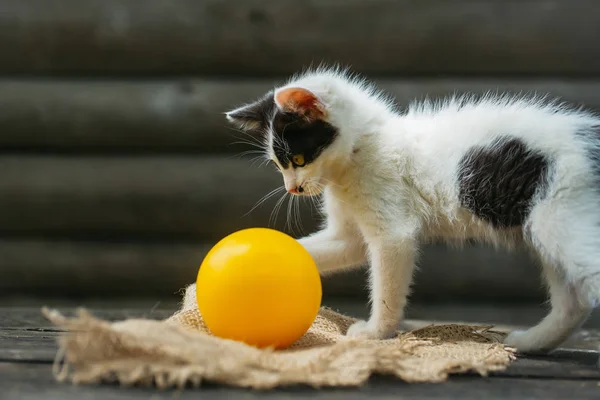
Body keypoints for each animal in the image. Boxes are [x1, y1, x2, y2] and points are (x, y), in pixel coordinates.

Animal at [225, 67, 600, 354]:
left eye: (299, 159)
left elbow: (387, 285)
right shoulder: (349, 234)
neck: (361, 151)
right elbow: (329, 247)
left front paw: (377, 333)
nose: (293, 188)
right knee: (573, 302)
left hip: (562, 217)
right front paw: (251, 258)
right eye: (279, 165)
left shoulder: (393, 233)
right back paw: (531, 341)